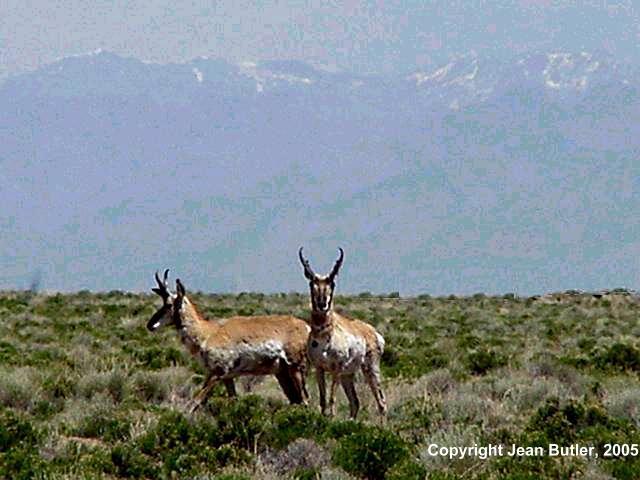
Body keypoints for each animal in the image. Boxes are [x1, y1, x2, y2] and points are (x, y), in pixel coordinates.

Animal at [148, 270, 312, 412]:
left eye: (169, 304)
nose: (150, 325)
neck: (208, 333)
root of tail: (306, 326)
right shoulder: (227, 377)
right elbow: (233, 400)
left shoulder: (216, 374)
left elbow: (195, 402)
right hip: (282, 374)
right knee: (296, 400)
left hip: (296, 369)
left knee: (305, 400)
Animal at [298, 249, 388, 418]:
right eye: (312, 283)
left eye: (332, 283)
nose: (322, 304)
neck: (324, 336)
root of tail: (374, 333)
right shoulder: (319, 369)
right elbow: (323, 400)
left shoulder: (336, 369)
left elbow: (332, 399)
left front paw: (331, 418)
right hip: (348, 375)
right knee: (355, 403)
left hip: (370, 369)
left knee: (381, 402)